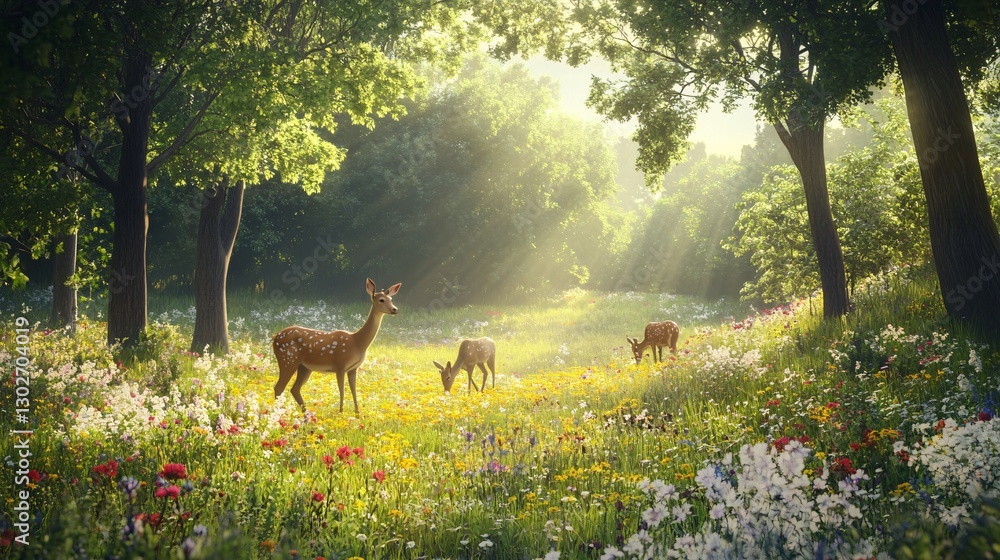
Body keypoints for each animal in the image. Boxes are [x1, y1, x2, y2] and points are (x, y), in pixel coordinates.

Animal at [273, 278, 401, 414]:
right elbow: (342, 391)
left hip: (304, 367)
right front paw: (341, 412)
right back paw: (279, 412)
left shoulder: (353, 368)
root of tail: (275, 337)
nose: (395, 309)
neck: (358, 342)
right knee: (279, 387)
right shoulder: (340, 364)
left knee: (295, 389)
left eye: (391, 299)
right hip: (287, 359)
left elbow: (354, 391)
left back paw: (305, 413)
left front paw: (357, 413)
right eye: (381, 300)